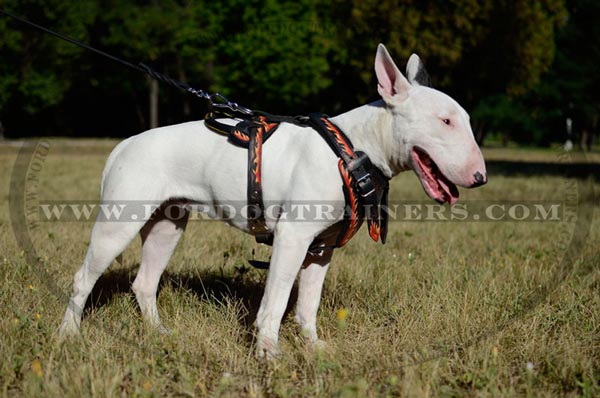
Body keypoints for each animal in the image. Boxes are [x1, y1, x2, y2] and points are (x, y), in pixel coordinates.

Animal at [58, 43, 486, 358]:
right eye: (445, 121)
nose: (480, 177)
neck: (352, 148)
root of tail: (123, 146)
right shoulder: (292, 238)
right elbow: (276, 301)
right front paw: (268, 353)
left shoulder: (321, 248)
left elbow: (308, 303)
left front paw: (314, 347)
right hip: (119, 224)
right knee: (83, 279)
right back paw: (68, 335)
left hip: (167, 225)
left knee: (145, 283)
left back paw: (159, 333)